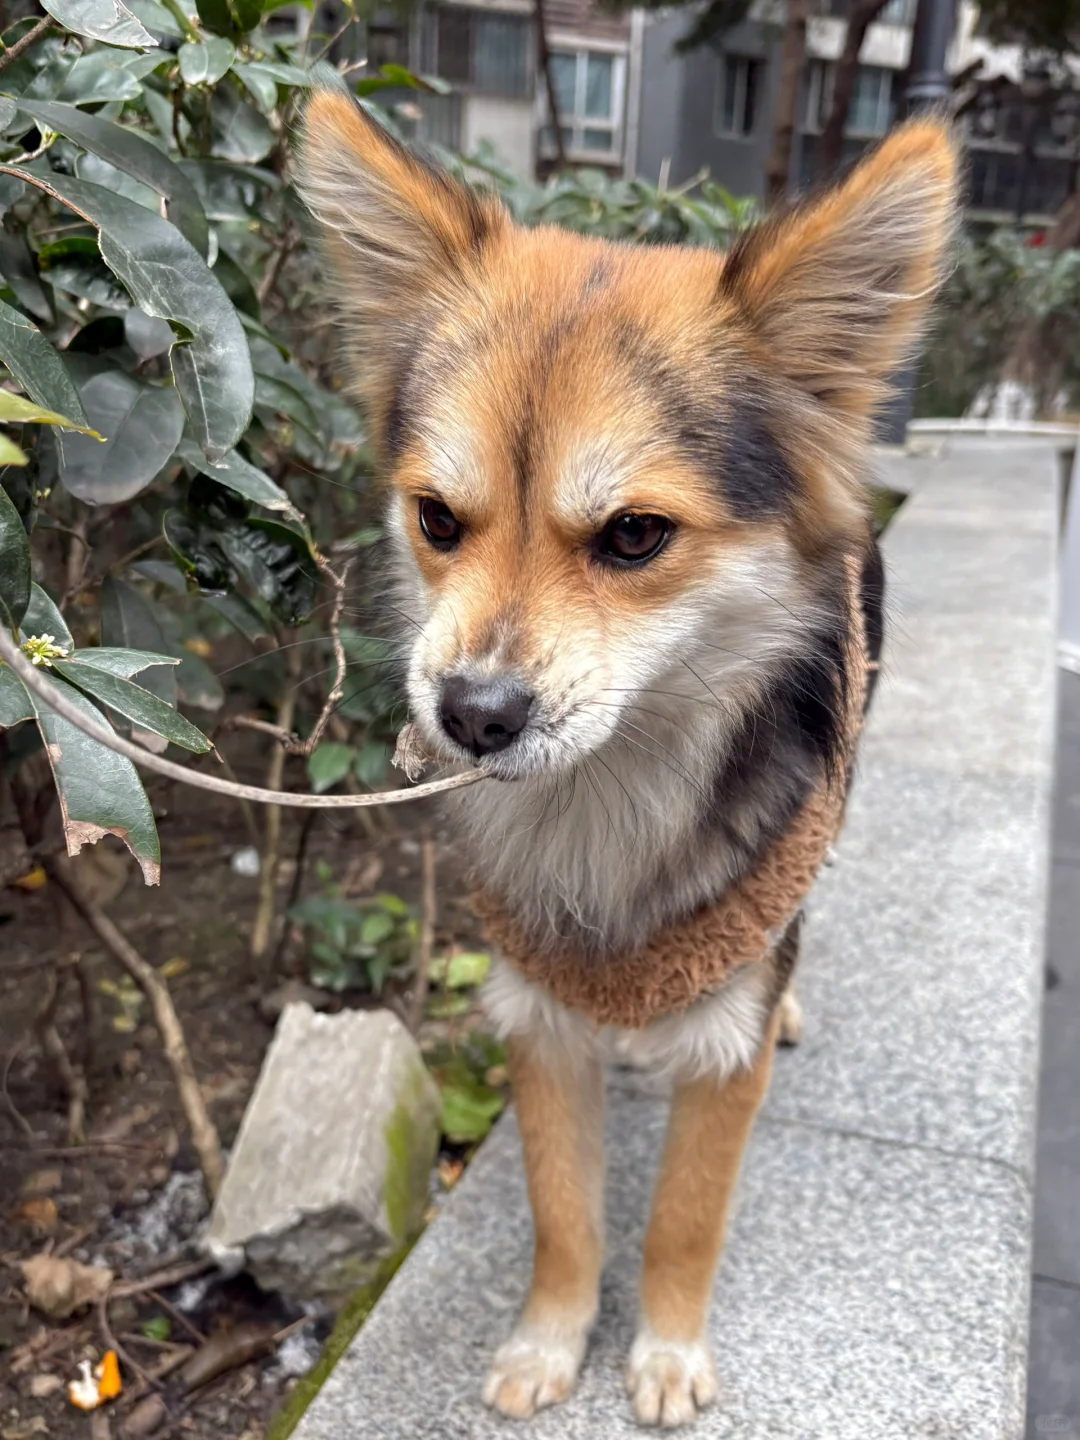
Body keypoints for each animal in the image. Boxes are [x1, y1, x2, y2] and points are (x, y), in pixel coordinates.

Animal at [298, 91, 958, 1429]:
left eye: (637, 536)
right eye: (436, 520)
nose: (473, 714)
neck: (612, 792)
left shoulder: (722, 1050)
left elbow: (682, 1221)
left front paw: (662, 1350)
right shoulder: (537, 1012)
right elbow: (567, 1214)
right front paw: (553, 1341)